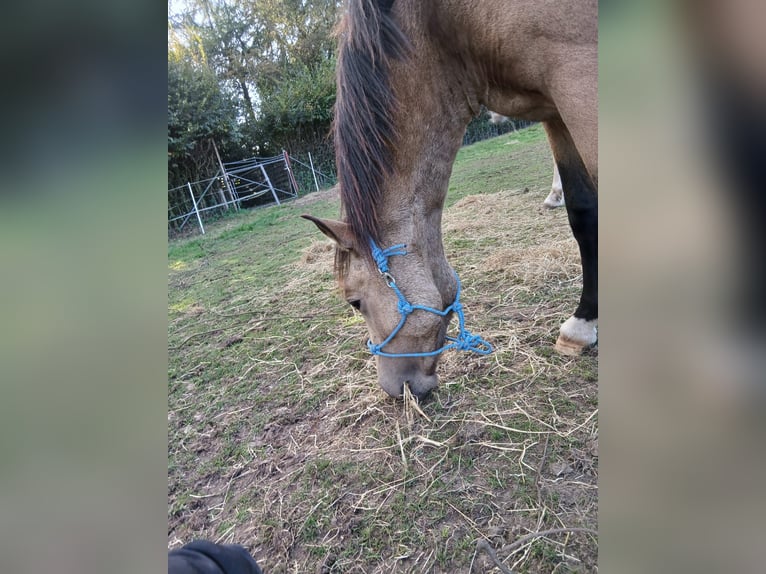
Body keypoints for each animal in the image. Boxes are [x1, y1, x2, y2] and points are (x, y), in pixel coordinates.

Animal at [304, 0, 597, 399]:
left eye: (354, 301)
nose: (393, 389)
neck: (447, 25)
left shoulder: (577, 79)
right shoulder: (554, 109)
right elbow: (584, 212)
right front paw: (583, 326)